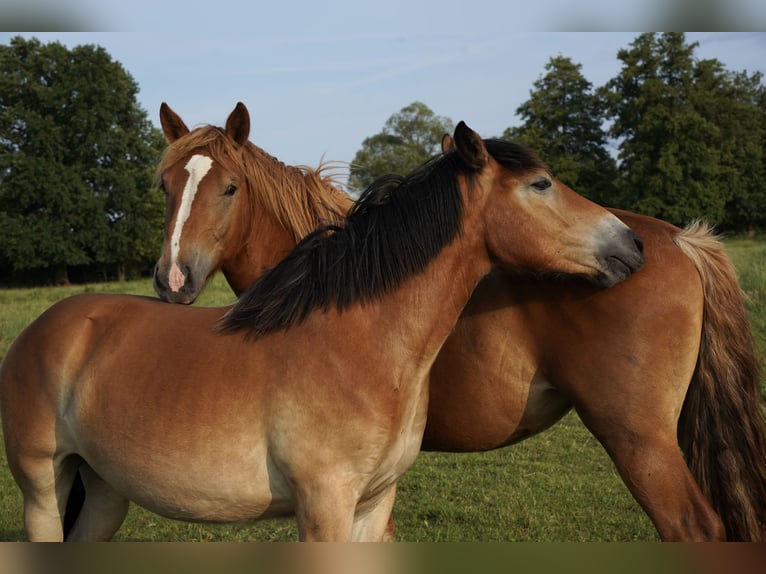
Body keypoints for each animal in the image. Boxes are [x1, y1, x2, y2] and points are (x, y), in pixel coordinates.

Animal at [0, 122, 644, 541]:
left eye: (230, 187)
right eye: (541, 185)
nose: (629, 243)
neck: (359, 344)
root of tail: (45, 326)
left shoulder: (370, 508)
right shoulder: (325, 509)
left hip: (103, 496)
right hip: (44, 493)